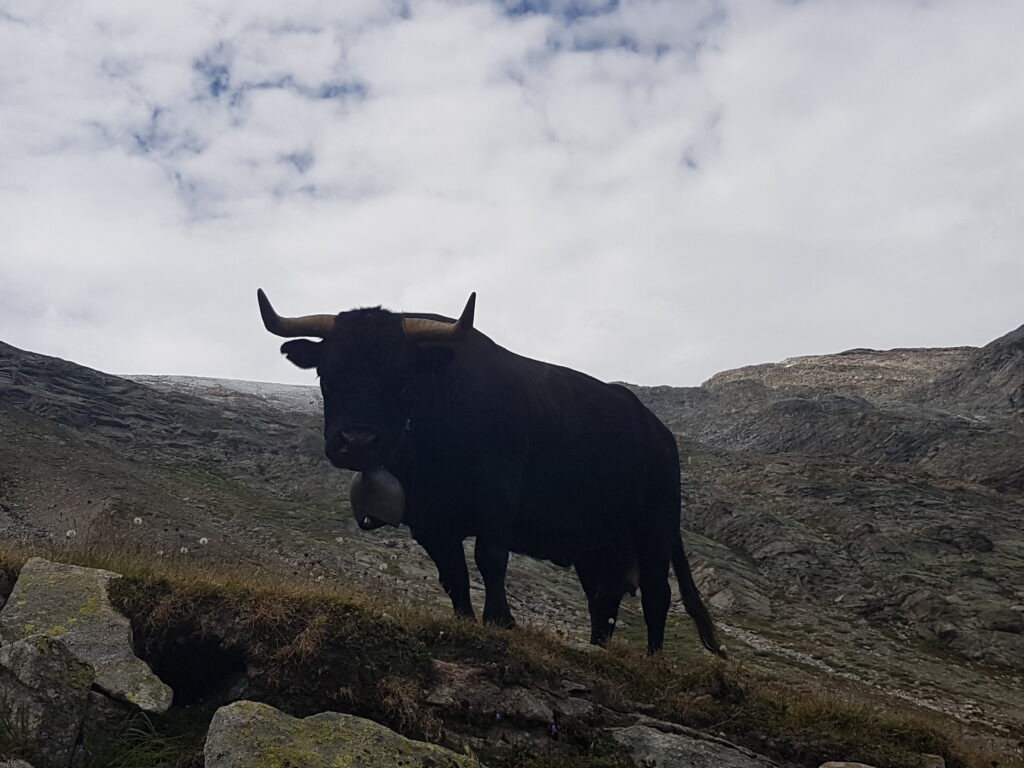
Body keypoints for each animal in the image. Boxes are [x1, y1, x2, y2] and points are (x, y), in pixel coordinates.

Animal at [258, 289, 724, 656]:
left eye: (404, 379)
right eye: (327, 373)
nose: (356, 442)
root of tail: (657, 430)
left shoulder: (498, 496)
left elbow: (490, 558)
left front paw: (500, 620)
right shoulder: (429, 520)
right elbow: (453, 575)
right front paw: (464, 620)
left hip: (654, 528)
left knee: (657, 594)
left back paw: (653, 658)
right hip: (598, 545)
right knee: (603, 599)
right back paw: (598, 647)